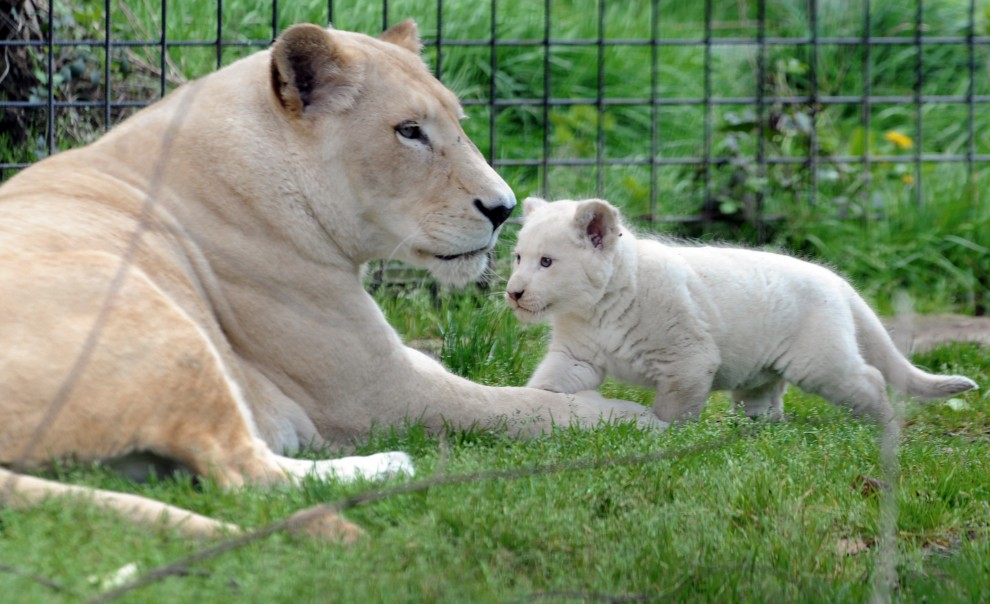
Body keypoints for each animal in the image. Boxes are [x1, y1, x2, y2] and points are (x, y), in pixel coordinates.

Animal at [0, 21, 660, 540]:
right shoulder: (374, 389)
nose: (502, 208)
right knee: (248, 475)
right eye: (409, 130)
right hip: (152, 317)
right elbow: (519, 406)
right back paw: (390, 465)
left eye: (458, 122)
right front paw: (634, 419)